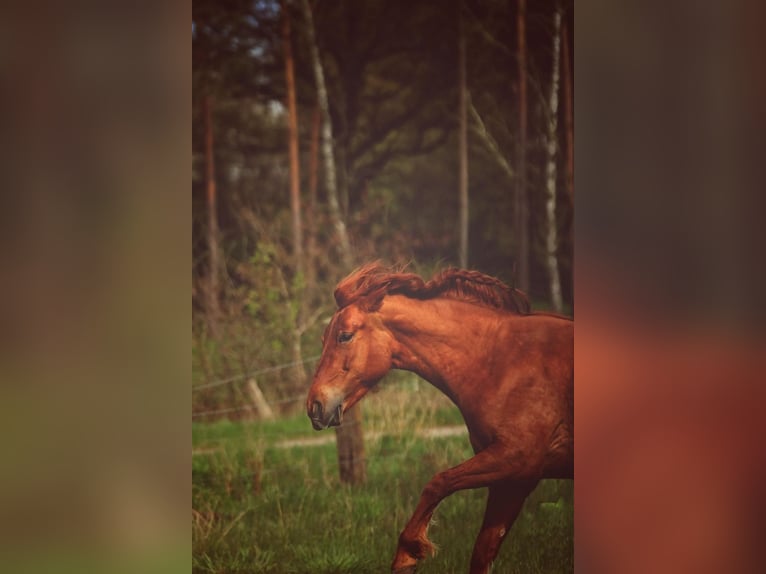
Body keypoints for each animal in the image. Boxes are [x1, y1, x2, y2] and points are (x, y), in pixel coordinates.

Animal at [304, 264, 572, 574]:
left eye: (344, 336)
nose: (314, 406)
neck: (501, 361)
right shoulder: (515, 481)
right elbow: (481, 554)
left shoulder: (518, 459)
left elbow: (438, 482)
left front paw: (407, 555)